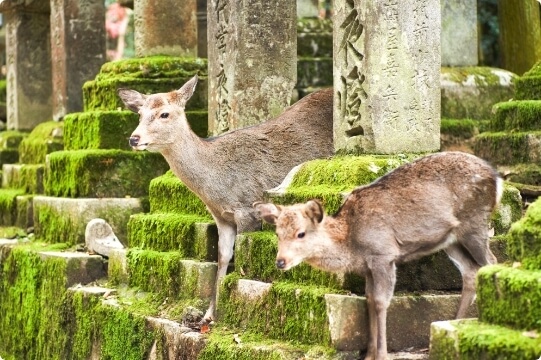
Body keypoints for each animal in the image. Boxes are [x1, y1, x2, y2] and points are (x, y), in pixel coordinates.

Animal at [118, 76, 334, 324]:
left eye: (165, 114)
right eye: (140, 114)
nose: (134, 139)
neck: (215, 189)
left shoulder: (248, 210)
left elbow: (241, 255)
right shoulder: (222, 218)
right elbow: (222, 258)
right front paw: (209, 315)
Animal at [255, 152, 500, 360]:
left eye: (301, 233)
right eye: (277, 233)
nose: (280, 261)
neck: (352, 244)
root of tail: (497, 178)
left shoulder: (383, 254)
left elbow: (381, 302)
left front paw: (381, 354)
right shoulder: (368, 267)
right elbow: (370, 300)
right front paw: (369, 354)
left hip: (474, 222)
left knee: (492, 262)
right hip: (451, 239)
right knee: (471, 271)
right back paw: (451, 326)